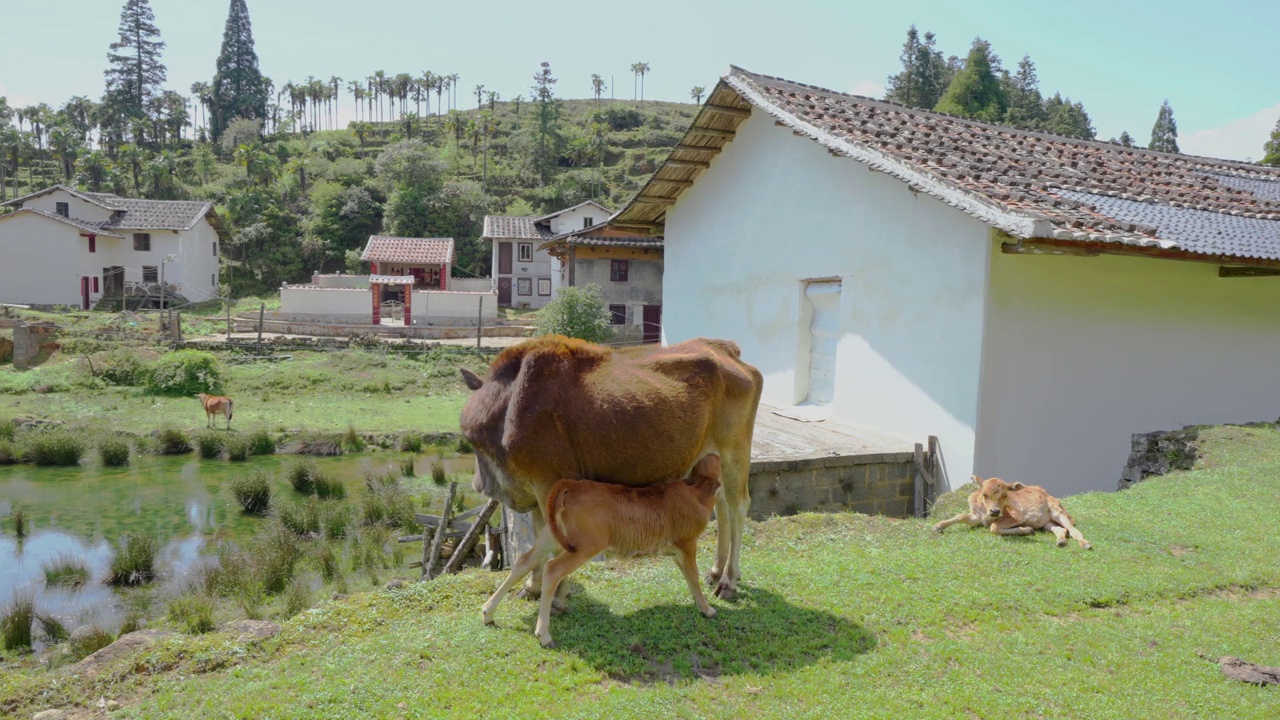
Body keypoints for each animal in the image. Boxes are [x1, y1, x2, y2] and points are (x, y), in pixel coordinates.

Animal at [458, 333, 757, 597]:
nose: (477, 483)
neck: (506, 407)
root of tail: (728, 351)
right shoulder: (532, 491)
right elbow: (536, 543)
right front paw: (532, 587)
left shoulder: (548, 484)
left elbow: (551, 541)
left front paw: (557, 595)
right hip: (710, 456)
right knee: (721, 504)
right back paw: (716, 572)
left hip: (735, 452)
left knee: (738, 506)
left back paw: (729, 581)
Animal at [481, 453, 727, 645]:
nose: (714, 454)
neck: (695, 493)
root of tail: (572, 485)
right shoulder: (687, 543)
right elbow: (693, 576)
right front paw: (707, 609)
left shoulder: (677, 551)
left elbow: (688, 577)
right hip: (584, 546)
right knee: (552, 570)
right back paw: (544, 634)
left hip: (550, 536)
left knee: (524, 561)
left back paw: (488, 613)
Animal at [931, 474, 1090, 545]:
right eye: (984, 494)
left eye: (1005, 495)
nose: (995, 511)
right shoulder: (976, 516)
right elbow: (961, 516)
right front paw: (937, 526)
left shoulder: (1017, 516)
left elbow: (994, 527)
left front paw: (1026, 530)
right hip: (1047, 523)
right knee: (1061, 530)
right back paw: (1061, 541)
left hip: (1057, 512)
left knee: (1072, 529)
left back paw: (1085, 543)